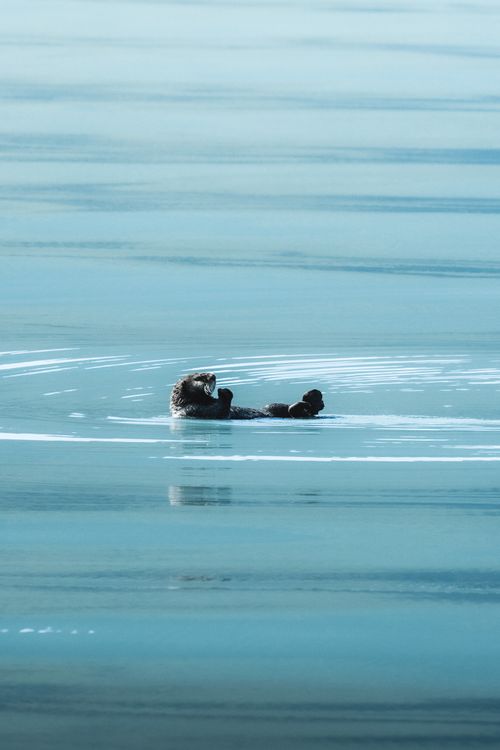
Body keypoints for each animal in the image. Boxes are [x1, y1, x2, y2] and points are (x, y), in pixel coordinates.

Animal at [170, 372, 324, 420]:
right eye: (199, 377)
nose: (213, 375)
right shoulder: (194, 410)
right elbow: (221, 410)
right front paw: (223, 391)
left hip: (273, 406)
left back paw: (314, 397)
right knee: (298, 412)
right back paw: (310, 401)